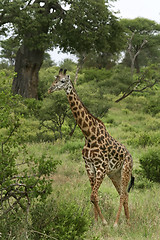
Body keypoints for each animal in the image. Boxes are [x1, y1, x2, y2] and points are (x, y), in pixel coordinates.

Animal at [48, 68, 134, 226]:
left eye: (62, 81)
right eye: (54, 79)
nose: (50, 89)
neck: (89, 135)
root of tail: (130, 156)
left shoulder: (101, 167)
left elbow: (94, 195)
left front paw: (104, 222)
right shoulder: (89, 166)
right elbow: (93, 196)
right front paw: (95, 222)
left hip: (125, 170)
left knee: (122, 195)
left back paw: (116, 223)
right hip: (114, 174)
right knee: (124, 193)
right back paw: (128, 222)